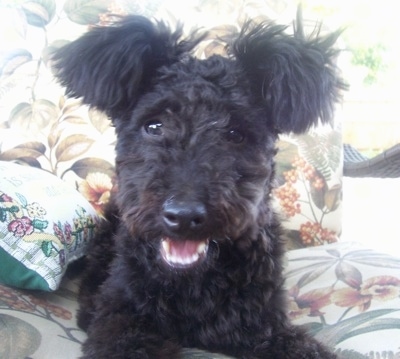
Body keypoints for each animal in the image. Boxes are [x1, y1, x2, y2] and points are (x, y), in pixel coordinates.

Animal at [54, 11, 344, 359]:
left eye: (235, 134)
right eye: (154, 126)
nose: (183, 216)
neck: (191, 285)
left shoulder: (263, 326)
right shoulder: (123, 318)